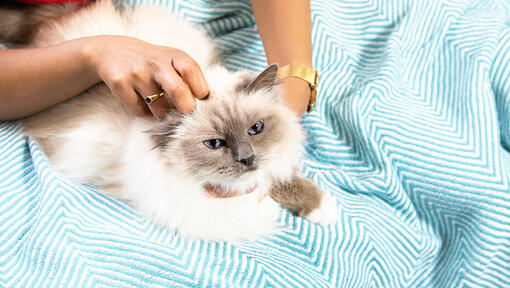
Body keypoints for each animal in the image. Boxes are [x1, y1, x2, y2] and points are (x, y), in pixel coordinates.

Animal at [0, 0, 338, 241]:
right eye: (214, 144)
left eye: (256, 129)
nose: (247, 158)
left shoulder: (271, 166)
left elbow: (281, 178)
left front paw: (321, 208)